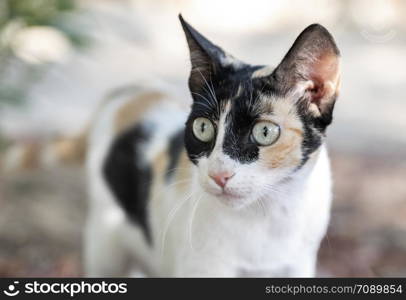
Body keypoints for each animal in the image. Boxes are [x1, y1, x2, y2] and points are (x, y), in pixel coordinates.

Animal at [84, 14, 340, 276]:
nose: (219, 175)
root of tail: (133, 89)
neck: (266, 218)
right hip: (105, 244)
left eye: (265, 132)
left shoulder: (299, 265)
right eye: (203, 127)